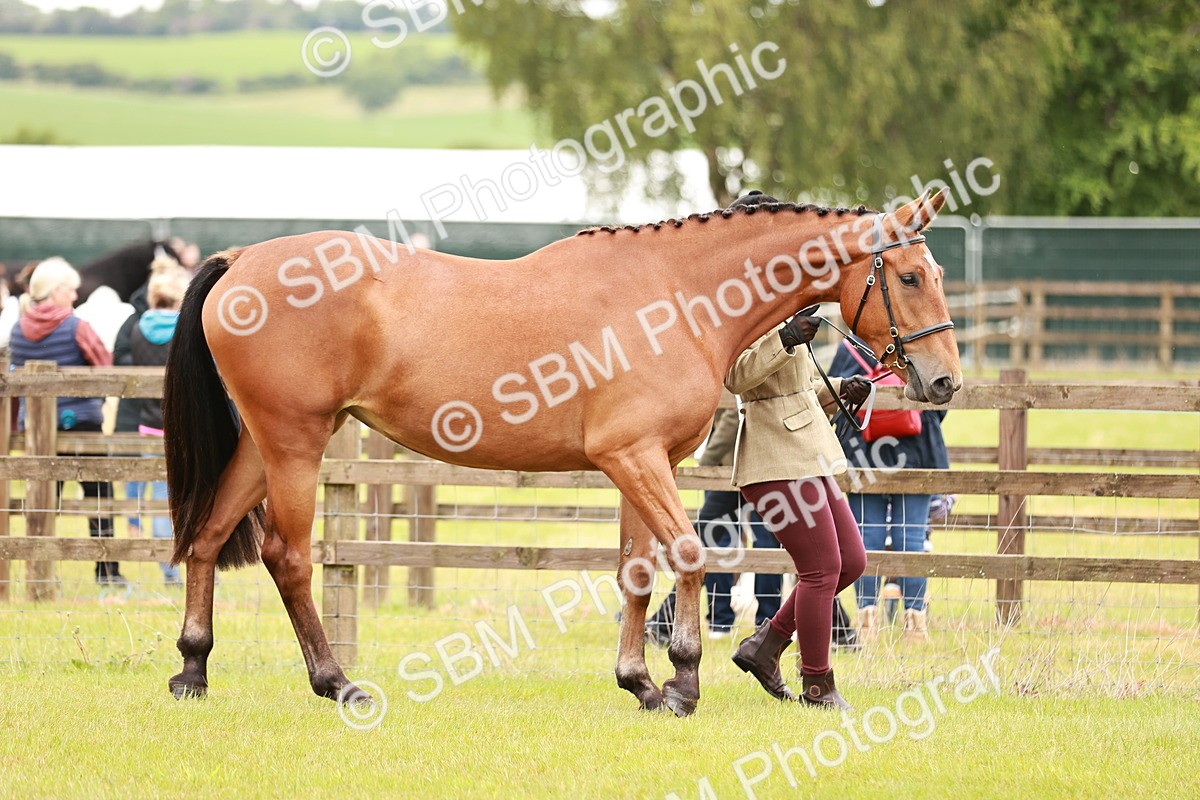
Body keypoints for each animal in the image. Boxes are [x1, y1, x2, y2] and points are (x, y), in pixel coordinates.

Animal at [162, 190, 962, 717]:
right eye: (910, 277)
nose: (944, 381)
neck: (674, 294)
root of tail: (241, 259)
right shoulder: (633, 458)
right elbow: (689, 556)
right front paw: (684, 682)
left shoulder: (644, 463)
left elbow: (637, 572)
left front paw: (640, 682)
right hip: (294, 443)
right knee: (289, 558)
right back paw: (335, 682)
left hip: (265, 445)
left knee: (206, 537)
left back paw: (193, 668)